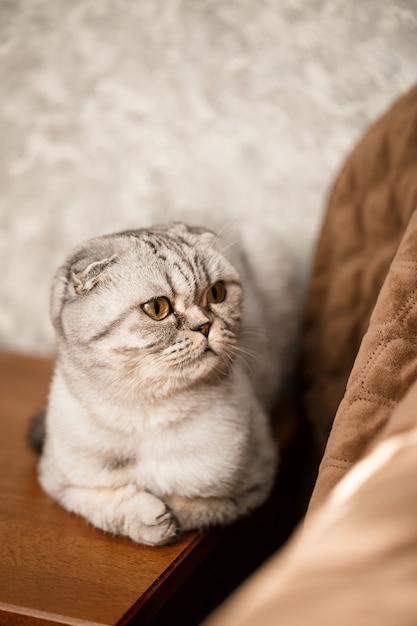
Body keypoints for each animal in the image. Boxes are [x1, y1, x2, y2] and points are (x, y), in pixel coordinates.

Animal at [29, 222, 298, 544]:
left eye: (216, 293)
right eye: (157, 308)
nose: (205, 326)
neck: (148, 414)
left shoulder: (256, 481)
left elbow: (195, 504)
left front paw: (167, 514)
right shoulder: (58, 481)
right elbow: (104, 503)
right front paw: (149, 518)